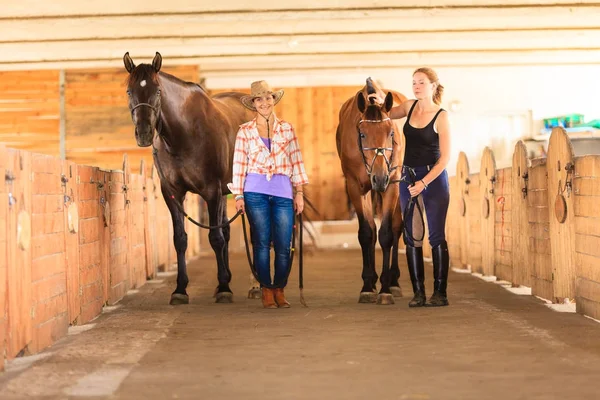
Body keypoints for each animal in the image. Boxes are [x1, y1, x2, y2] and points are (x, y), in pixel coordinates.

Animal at [122, 51, 260, 304]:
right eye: (129, 91)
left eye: (158, 91)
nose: (144, 133)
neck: (183, 135)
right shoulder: (173, 194)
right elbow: (180, 239)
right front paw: (180, 289)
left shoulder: (211, 192)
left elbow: (215, 237)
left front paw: (224, 287)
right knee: (227, 231)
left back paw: (257, 286)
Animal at [338, 77, 408, 304]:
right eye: (362, 134)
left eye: (391, 133)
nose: (379, 177)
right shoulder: (355, 187)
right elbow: (367, 232)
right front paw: (368, 285)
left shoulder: (392, 184)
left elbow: (387, 233)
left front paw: (386, 289)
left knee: (397, 227)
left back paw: (393, 282)